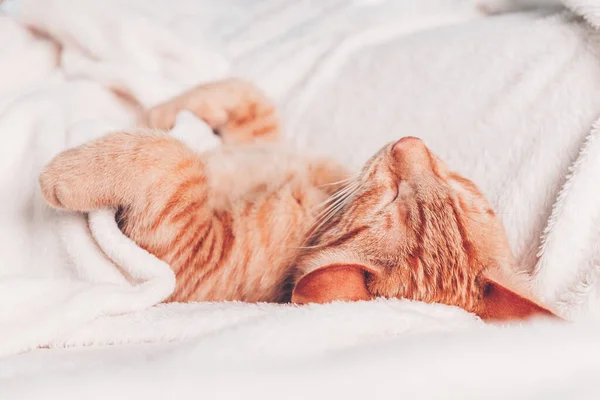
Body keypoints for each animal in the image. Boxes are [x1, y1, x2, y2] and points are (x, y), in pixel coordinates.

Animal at [37, 78, 556, 322]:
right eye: (459, 189)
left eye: (389, 199)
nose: (409, 143)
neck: (320, 200)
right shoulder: (262, 138)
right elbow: (250, 98)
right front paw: (166, 109)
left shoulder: (189, 258)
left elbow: (177, 160)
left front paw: (65, 173)